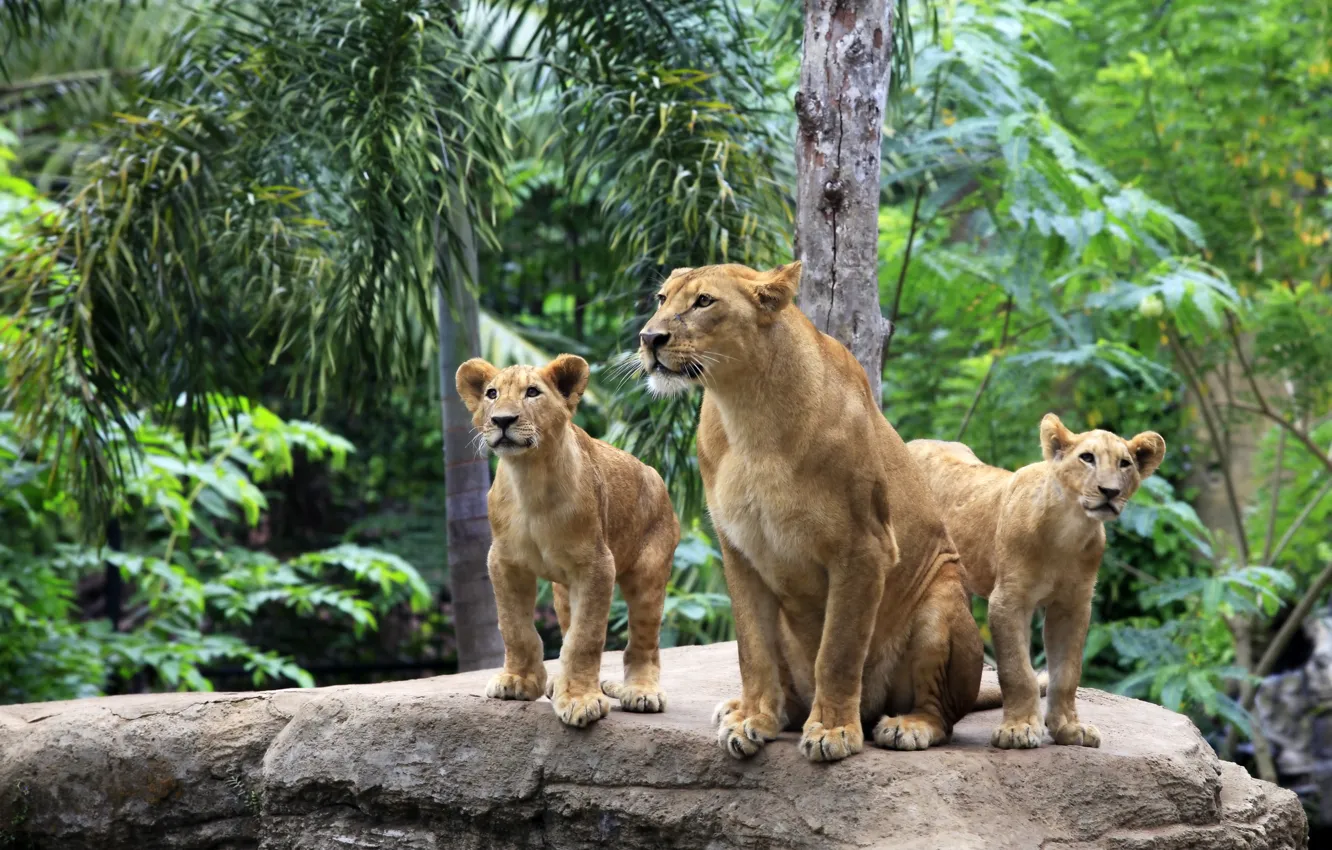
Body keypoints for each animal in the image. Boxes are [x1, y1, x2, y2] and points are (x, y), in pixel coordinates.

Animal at [455, 354, 680, 727]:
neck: (529, 479)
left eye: (532, 393)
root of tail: (655, 476)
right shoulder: (504, 562)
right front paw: (518, 681)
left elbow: (584, 638)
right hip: (562, 590)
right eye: (492, 394)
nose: (502, 420)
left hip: (649, 573)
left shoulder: (597, 566)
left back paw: (642, 692)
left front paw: (579, 700)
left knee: (643, 641)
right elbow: (515, 627)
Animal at [637, 262, 983, 762]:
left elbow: (838, 651)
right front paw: (752, 720)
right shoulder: (739, 551)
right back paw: (752, 710)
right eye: (662, 298)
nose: (649, 338)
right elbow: (751, 649)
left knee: (942, 712)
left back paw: (907, 725)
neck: (746, 410)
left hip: (942, 600)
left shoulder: (864, 548)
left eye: (704, 302)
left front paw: (833, 731)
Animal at [907, 414, 1165, 749]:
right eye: (1087, 458)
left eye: (1125, 464)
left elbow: (1067, 673)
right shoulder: (1008, 600)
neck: (1069, 531)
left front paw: (1069, 728)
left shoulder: (1072, 605)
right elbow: (1017, 669)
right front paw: (1017, 729)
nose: (1109, 491)